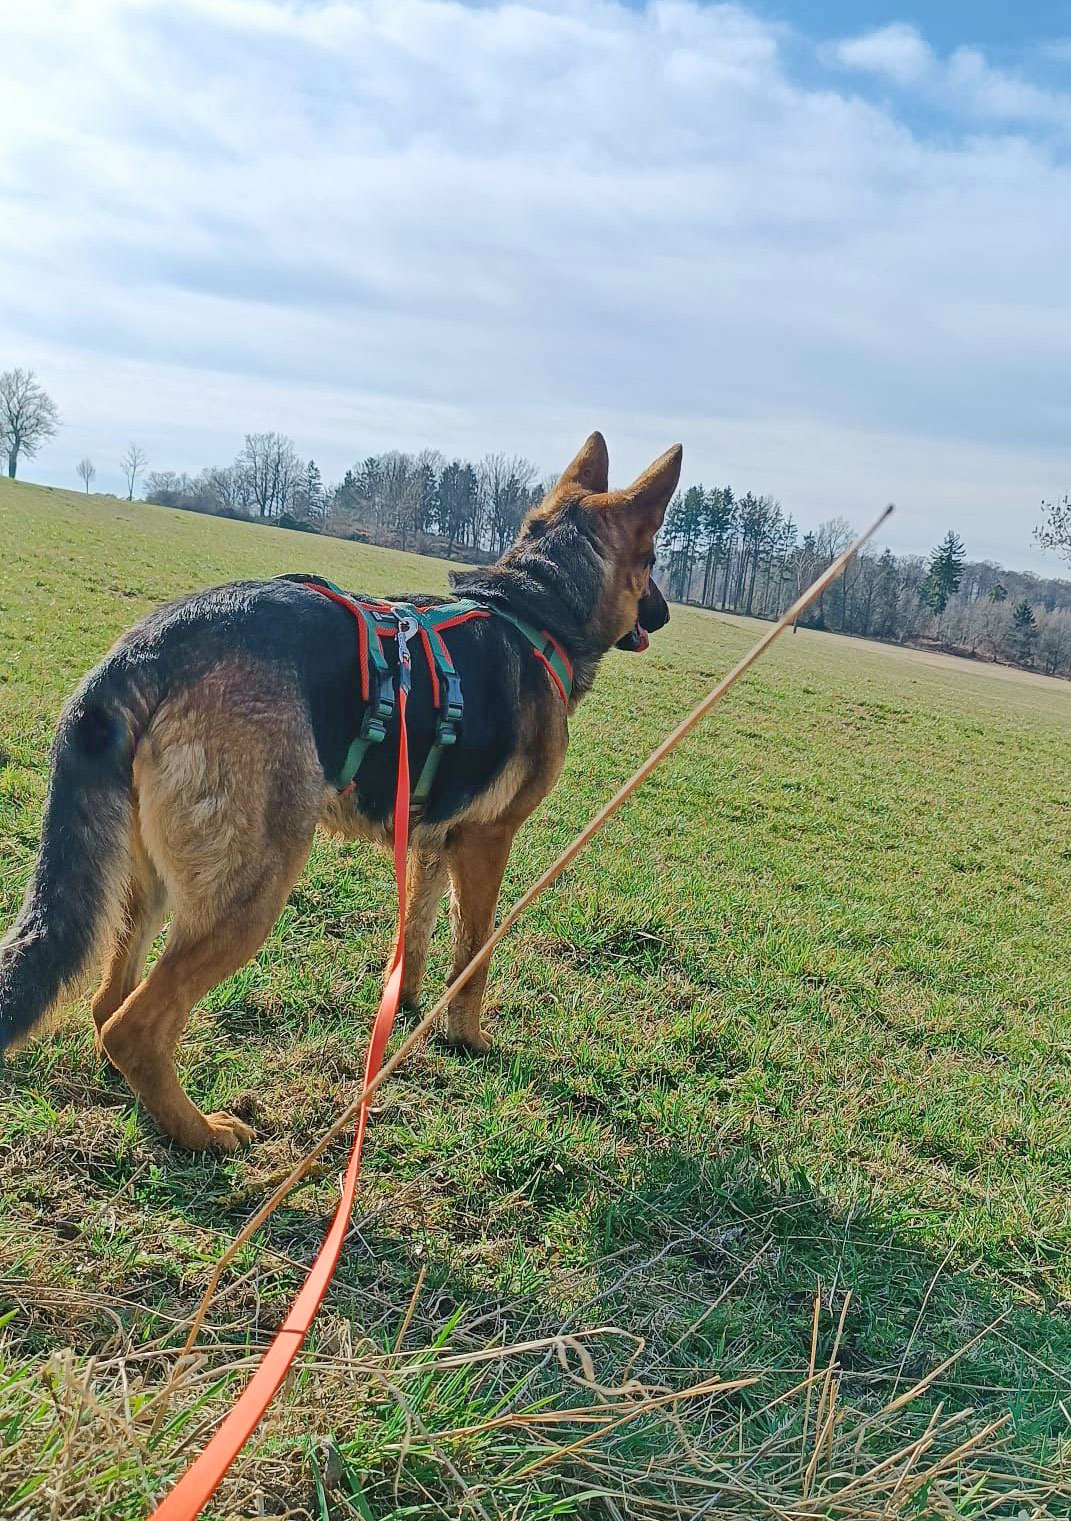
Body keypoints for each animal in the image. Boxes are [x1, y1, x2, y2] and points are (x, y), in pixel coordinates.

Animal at [0, 432, 679, 1151]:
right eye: (652, 560)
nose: (665, 613)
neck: (535, 604)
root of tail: (147, 648)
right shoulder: (486, 842)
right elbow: (475, 949)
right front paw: (465, 1037)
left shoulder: (431, 841)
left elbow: (416, 936)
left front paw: (405, 1011)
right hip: (253, 889)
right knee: (135, 1022)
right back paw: (203, 1132)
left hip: (150, 879)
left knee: (109, 1005)